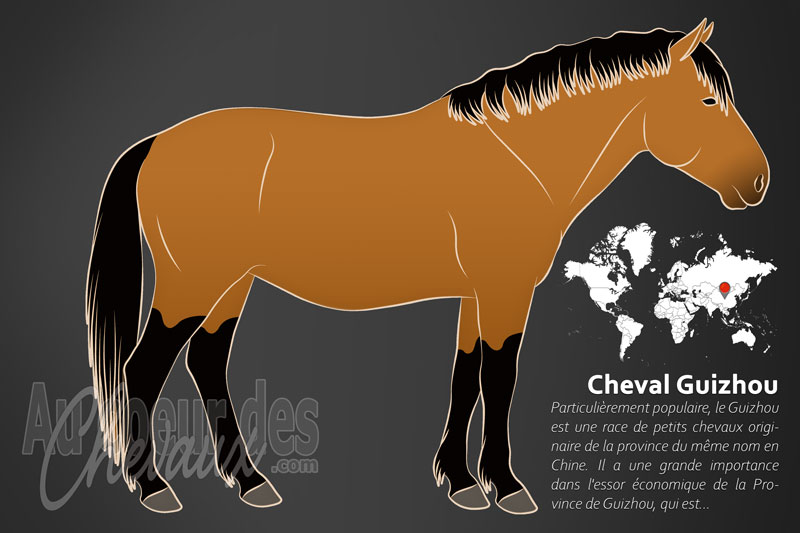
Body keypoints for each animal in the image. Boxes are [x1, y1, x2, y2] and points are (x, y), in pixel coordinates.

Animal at [85, 20, 768, 514]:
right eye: (708, 99)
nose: (758, 183)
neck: (515, 157)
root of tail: (157, 143)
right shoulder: (504, 293)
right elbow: (500, 379)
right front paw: (506, 487)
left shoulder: (478, 295)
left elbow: (465, 378)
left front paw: (461, 482)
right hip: (192, 285)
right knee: (141, 370)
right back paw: (153, 488)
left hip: (230, 284)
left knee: (206, 362)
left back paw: (250, 482)